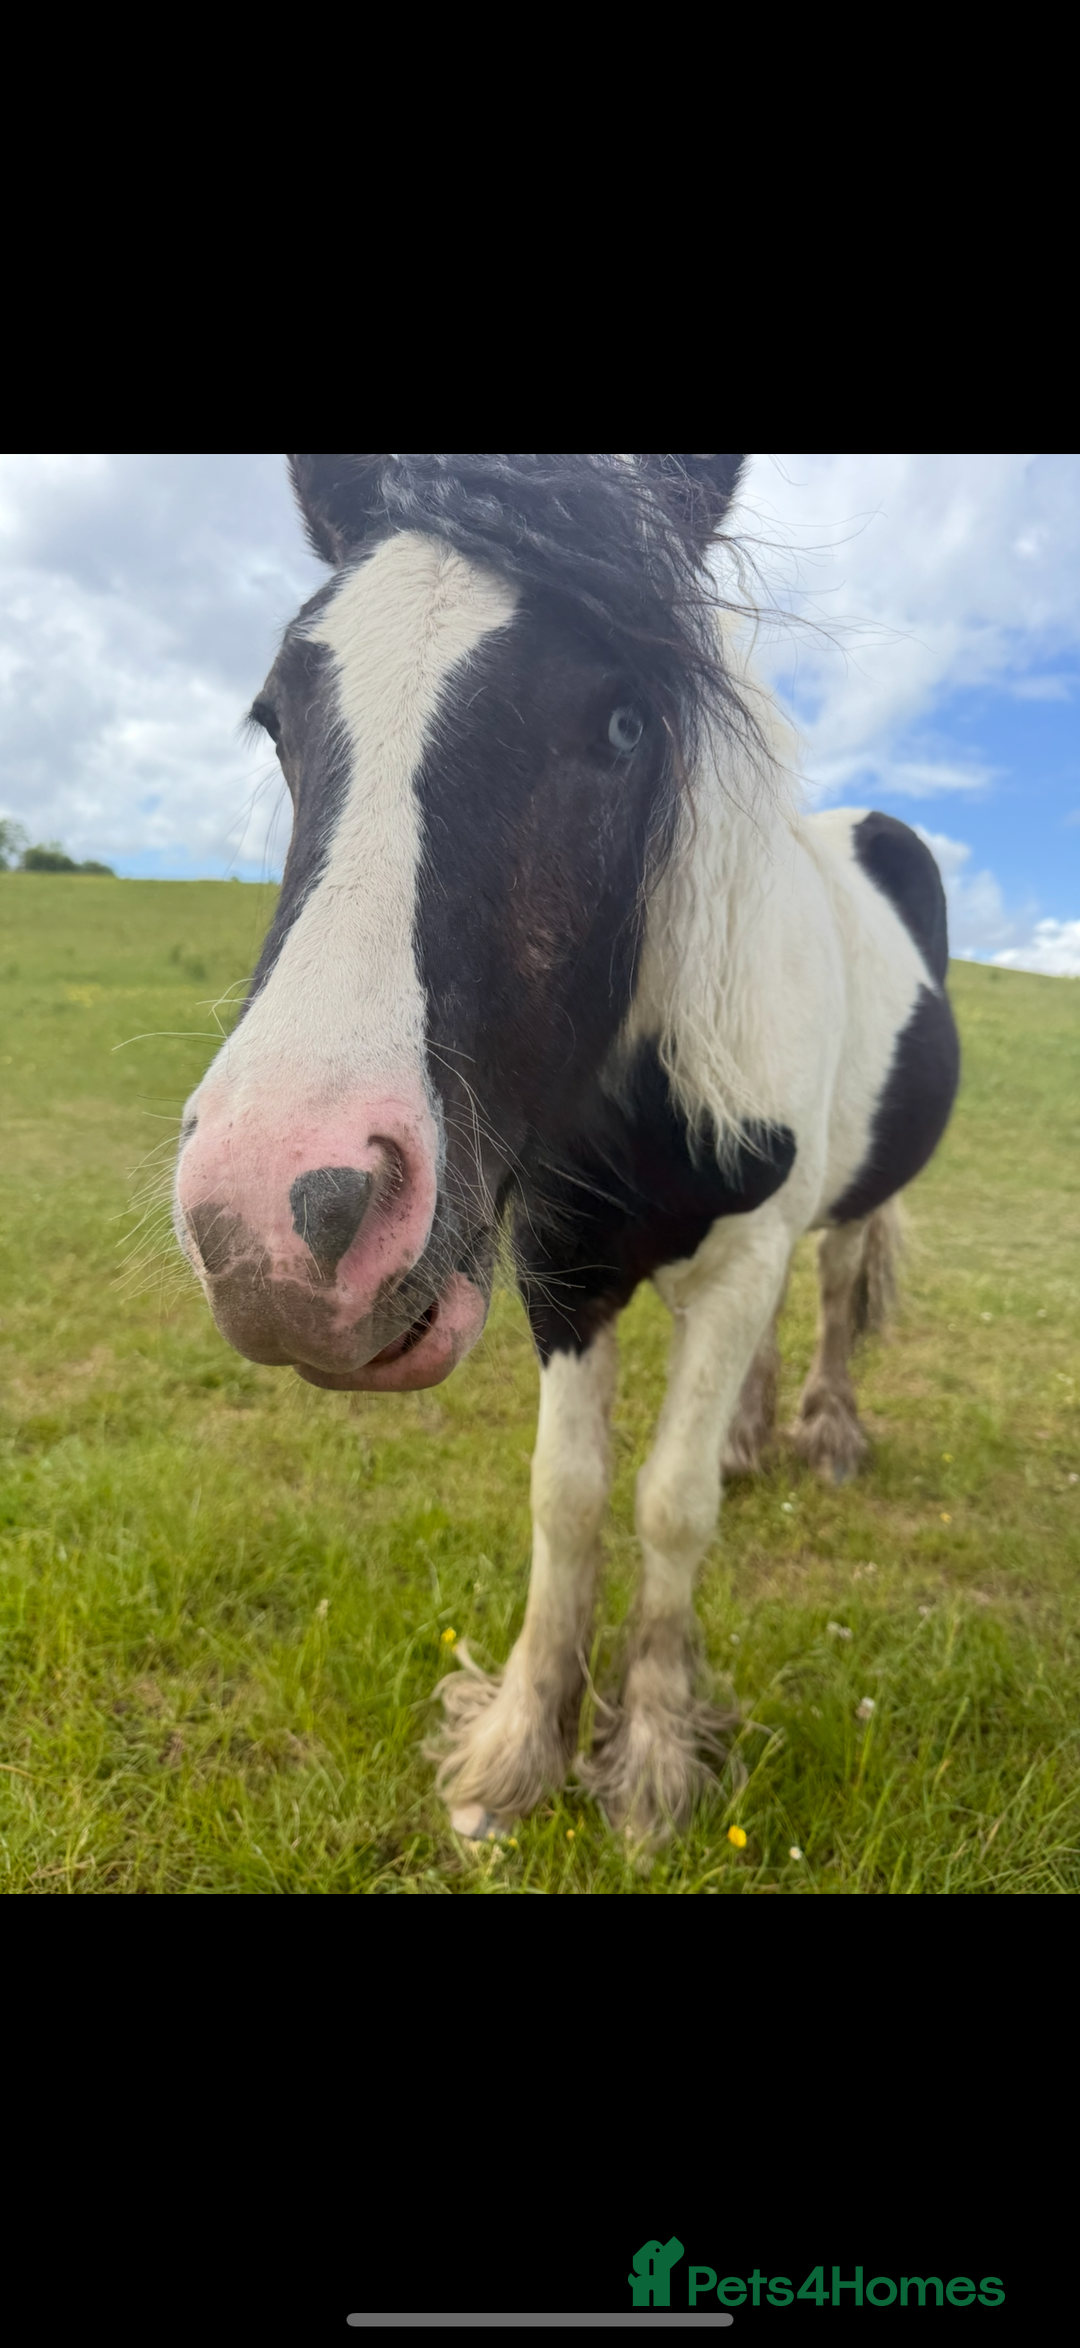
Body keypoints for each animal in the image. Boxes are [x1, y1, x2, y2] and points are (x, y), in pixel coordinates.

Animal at [173, 454, 960, 1843]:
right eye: (277, 716)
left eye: (625, 723)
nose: (274, 1215)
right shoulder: (559, 1269)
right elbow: (568, 1494)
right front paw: (519, 1749)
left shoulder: (738, 1254)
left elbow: (670, 1502)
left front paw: (649, 1758)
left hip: (843, 1206)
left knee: (831, 1291)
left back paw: (825, 1431)